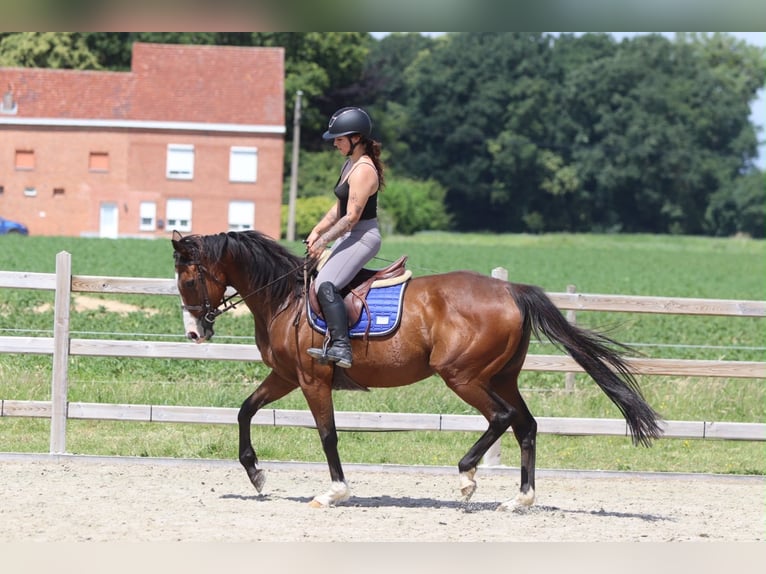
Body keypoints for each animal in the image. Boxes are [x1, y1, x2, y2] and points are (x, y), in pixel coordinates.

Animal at [172, 230, 663, 510]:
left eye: (189, 279)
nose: (195, 332)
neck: (284, 297)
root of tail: (511, 290)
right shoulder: (286, 377)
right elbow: (245, 410)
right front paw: (255, 473)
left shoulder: (313, 380)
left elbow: (328, 435)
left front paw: (334, 491)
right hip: (501, 376)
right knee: (526, 425)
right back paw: (520, 499)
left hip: (463, 376)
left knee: (502, 418)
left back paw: (466, 476)